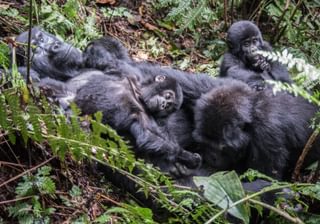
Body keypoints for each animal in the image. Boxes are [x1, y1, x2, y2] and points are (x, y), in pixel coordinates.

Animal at [192, 80, 320, 180]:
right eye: (205, 143)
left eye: (222, 147)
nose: (210, 158)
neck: (253, 110)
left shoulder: (266, 135)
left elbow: (266, 179)